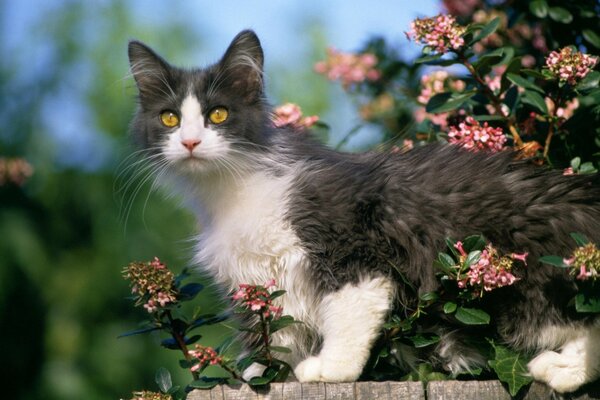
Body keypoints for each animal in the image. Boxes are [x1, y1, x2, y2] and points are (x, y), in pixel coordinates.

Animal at [127, 29, 600, 392]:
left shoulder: (352, 243)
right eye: (170, 119)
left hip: (530, 277)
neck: (228, 190)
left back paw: (560, 368)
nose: (190, 142)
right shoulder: (260, 283)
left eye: (219, 114)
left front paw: (331, 368)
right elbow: (272, 336)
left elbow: (348, 312)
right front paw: (257, 376)